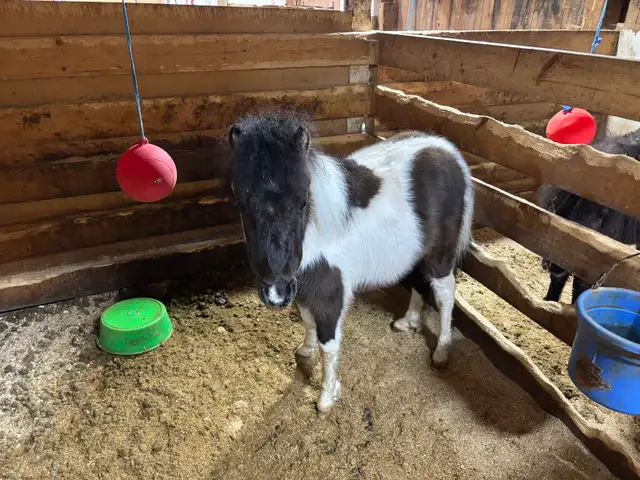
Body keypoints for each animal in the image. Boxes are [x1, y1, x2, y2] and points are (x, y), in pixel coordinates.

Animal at [227, 111, 474, 415]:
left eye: (302, 200)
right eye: (240, 203)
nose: (276, 293)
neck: (315, 232)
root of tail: (448, 151)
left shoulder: (330, 293)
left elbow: (329, 346)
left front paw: (326, 398)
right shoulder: (304, 289)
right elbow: (307, 322)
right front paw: (305, 350)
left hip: (441, 255)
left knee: (445, 294)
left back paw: (441, 351)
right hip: (416, 252)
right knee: (417, 281)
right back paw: (407, 322)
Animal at [539, 128, 640, 304]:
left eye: (601, 216)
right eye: (554, 205)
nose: (554, 264)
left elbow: (581, 288)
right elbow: (558, 282)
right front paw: (548, 301)